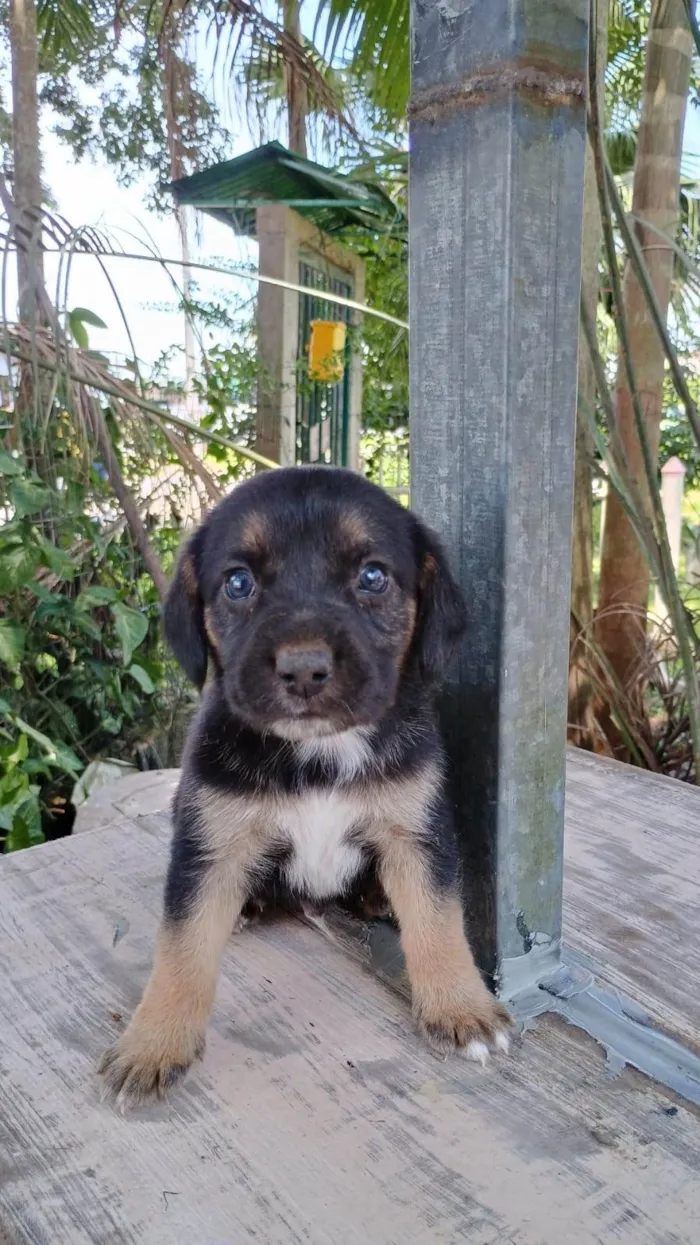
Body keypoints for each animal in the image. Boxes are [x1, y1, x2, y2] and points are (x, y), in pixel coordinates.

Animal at [98, 468, 505, 1110]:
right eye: (238, 582)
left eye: (373, 576)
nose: (305, 670)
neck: (319, 755)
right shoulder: (206, 848)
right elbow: (181, 951)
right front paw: (152, 1044)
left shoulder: (417, 833)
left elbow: (439, 922)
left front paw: (461, 1008)